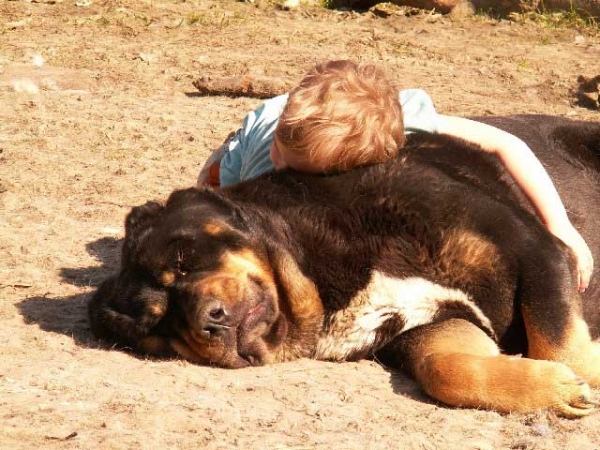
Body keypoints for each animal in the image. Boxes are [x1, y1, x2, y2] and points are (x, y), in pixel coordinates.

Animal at [88, 115, 600, 418]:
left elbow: (559, 342)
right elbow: (446, 369)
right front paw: (553, 388)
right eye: (160, 328)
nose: (207, 322)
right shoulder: (428, 325)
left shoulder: (534, 248)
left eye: (182, 260)